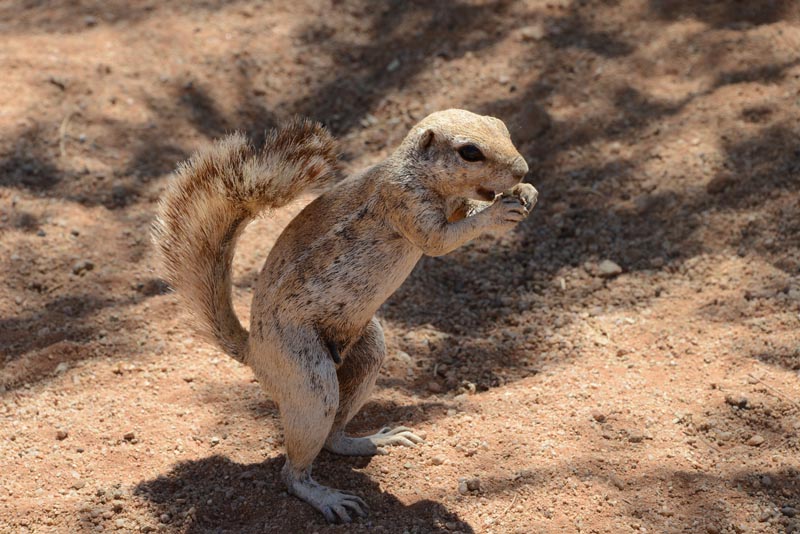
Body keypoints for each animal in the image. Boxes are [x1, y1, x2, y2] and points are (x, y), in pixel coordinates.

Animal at [152, 109, 536, 524]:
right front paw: (500, 211)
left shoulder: (452, 203)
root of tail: (252, 352)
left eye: (501, 126)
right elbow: (441, 241)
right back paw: (329, 498)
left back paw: (374, 439)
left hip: (367, 353)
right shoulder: (406, 206)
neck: (415, 172)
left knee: (333, 438)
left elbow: (466, 210)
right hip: (309, 377)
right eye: (470, 152)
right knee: (293, 472)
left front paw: (526, 192)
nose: (522, 168)